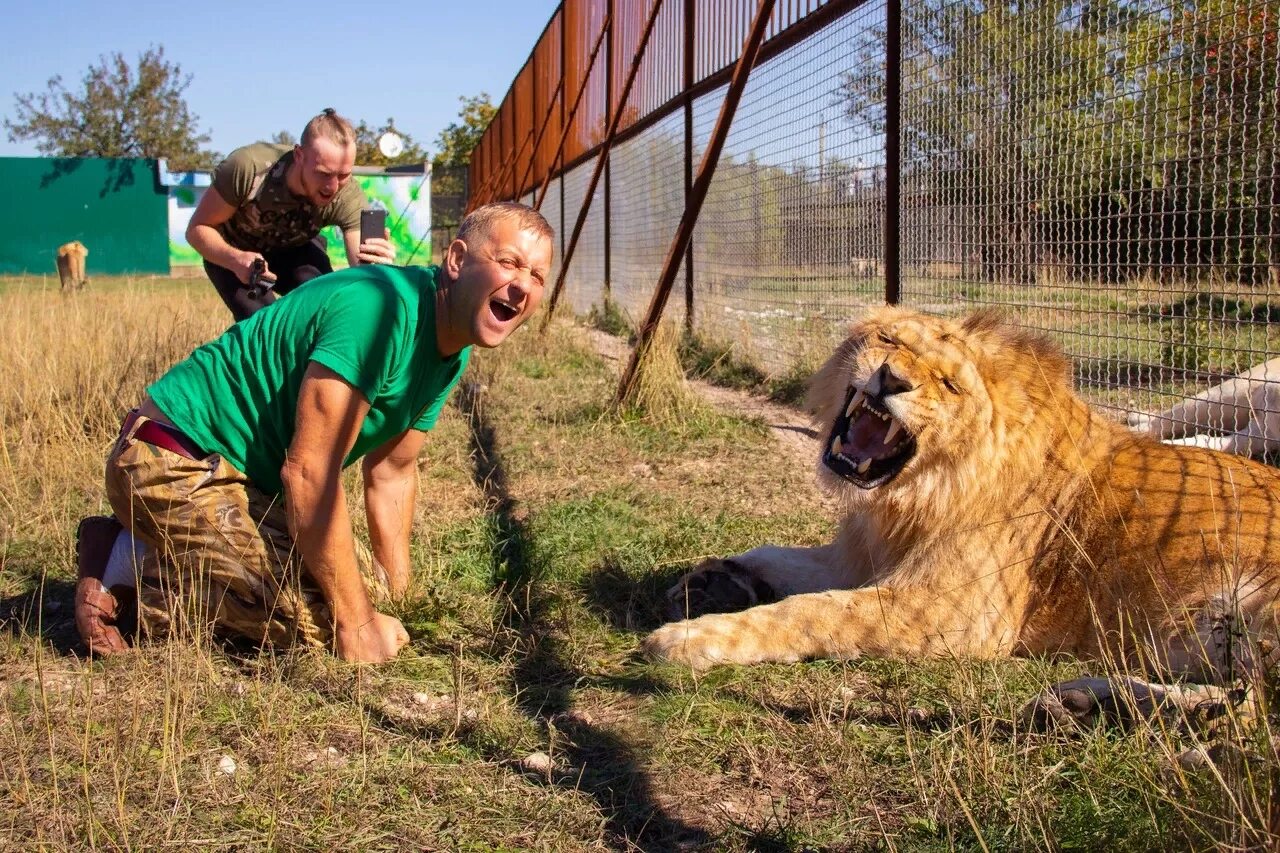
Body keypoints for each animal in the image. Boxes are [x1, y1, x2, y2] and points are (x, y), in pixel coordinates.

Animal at [645, 308, 1280, 701]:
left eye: (949, 385)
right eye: (891, 341)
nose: (889, 380)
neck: (911, 495)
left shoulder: (955, 611)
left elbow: (813, 612)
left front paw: (687, 639)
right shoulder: (860, 557)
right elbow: (774, 553)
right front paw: (714, 577)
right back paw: (1081, 702)